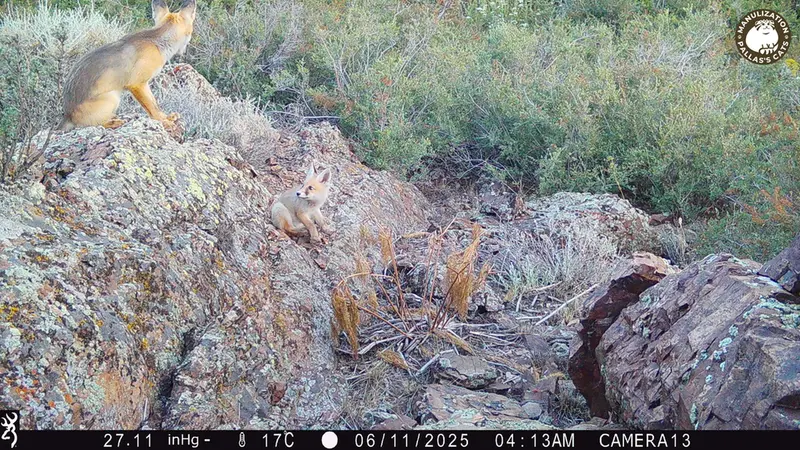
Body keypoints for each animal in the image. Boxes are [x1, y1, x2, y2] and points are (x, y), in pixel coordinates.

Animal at [57, 0, 197, 132]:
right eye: (190, 33)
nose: (185, 50)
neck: (157, 42)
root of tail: (67, 116)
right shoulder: (137, 84)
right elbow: (151, 107)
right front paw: (164, 122)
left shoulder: (144, 84)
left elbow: (155, 104)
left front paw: (167, 117)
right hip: (113, 98)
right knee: (91, 124)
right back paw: (113, 122)